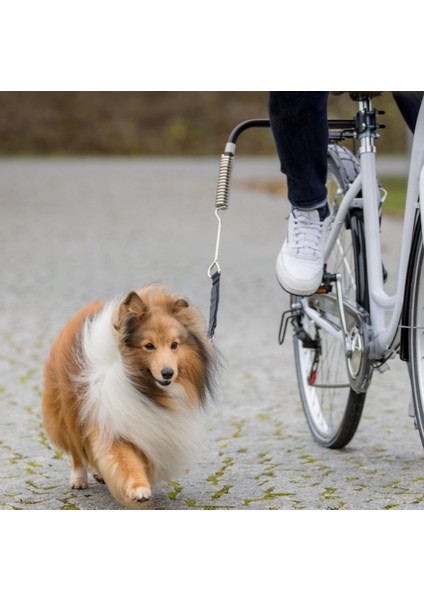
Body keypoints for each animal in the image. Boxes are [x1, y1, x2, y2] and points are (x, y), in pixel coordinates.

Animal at [42, 284, 217, 508]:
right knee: (77, 449)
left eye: (174, 345)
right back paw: (79, 479)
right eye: (148, 345)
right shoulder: (114, 424)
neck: (144, 388)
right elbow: (127, 461)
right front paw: (139, 490)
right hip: (69, 409)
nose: (168, 373)